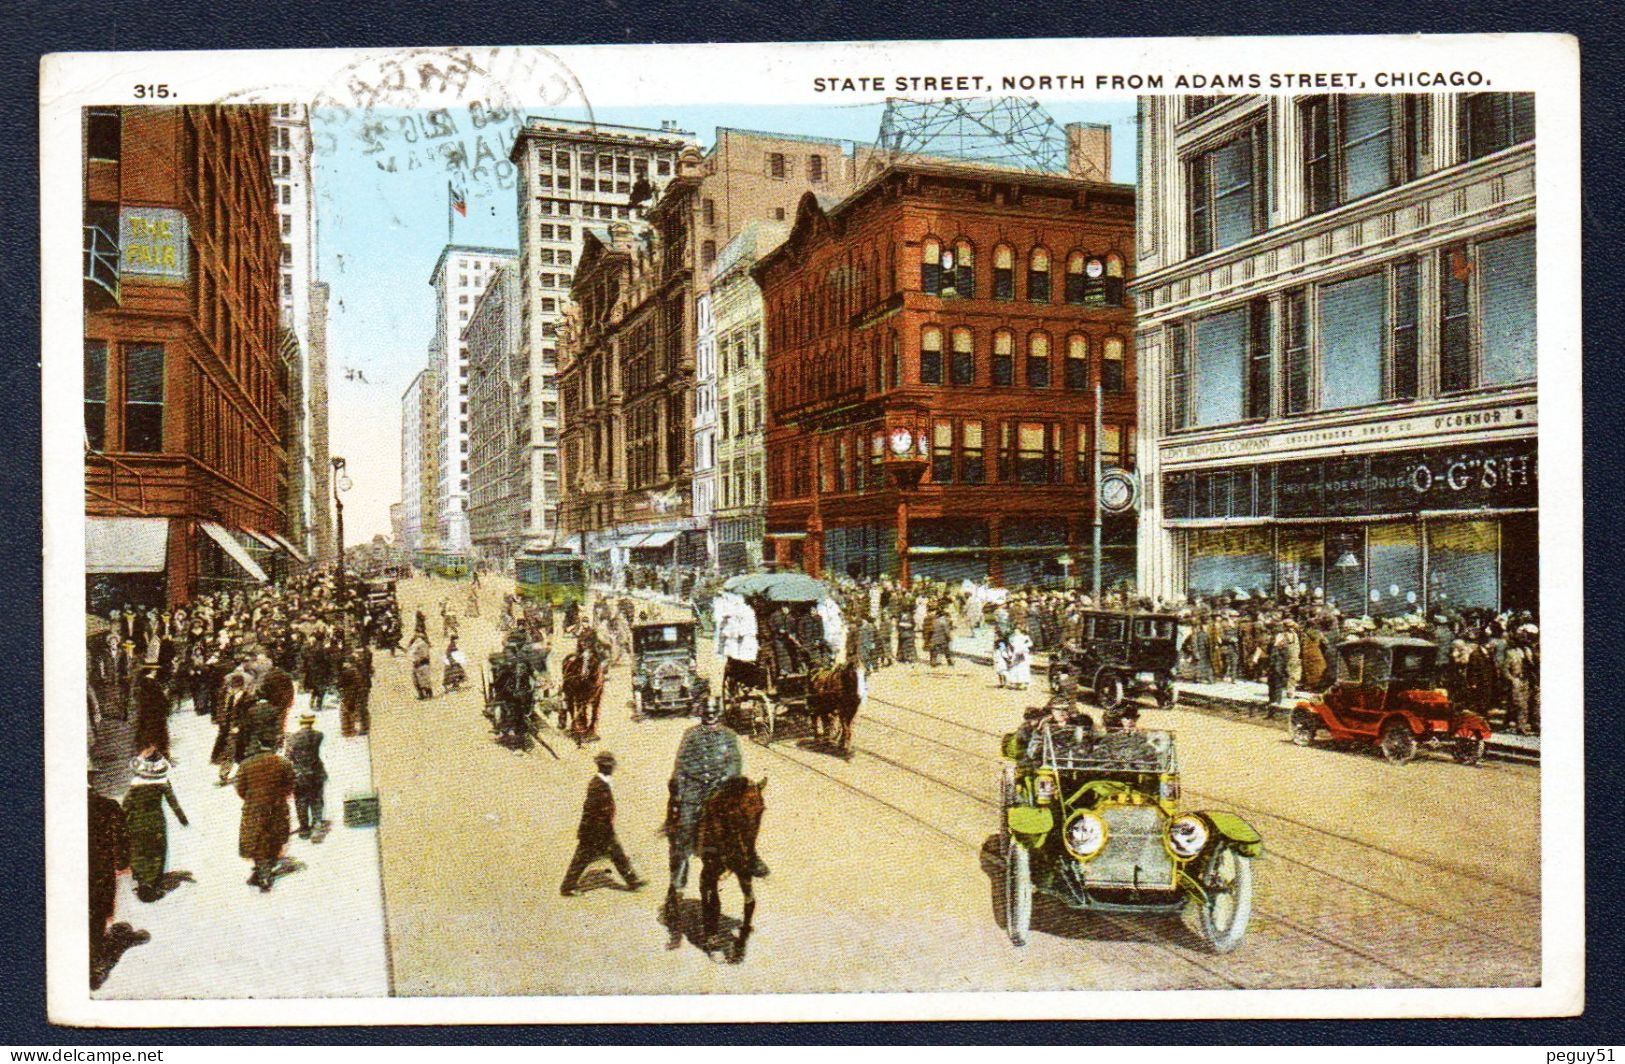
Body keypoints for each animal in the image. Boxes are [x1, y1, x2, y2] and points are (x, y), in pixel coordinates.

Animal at [695, 773, 763, 968]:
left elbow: (750, 903)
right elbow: (716, 902)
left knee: (703, 884)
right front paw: (714, 942)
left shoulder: (743, 871)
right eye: (741, 811)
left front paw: (740, 948)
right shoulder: (712, 866)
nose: (749, 854)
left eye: (761, 810)